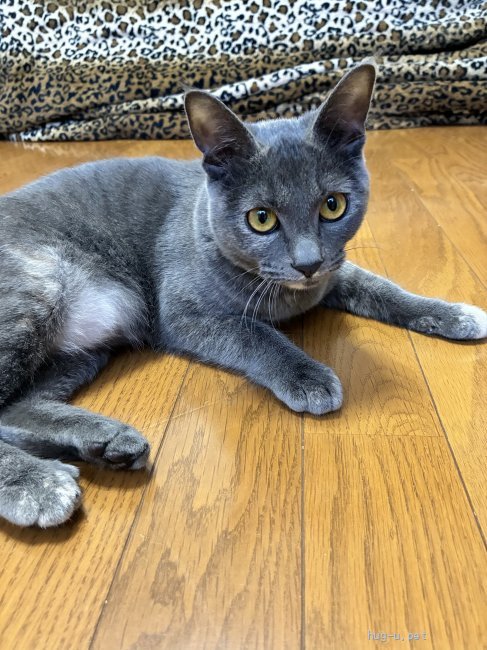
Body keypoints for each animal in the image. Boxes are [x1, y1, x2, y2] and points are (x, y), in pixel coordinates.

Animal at [0, 62, 485, 528]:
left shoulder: (333, 272)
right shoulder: (184, 316)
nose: (307, 263)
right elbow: (254, 334)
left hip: (84, 345)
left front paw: (454, 313)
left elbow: (381, 287)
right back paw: (38, 484)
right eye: (261, 218)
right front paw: (308, 377)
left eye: (333, 205)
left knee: (15, 409)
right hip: (38, 294)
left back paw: (108, 443)